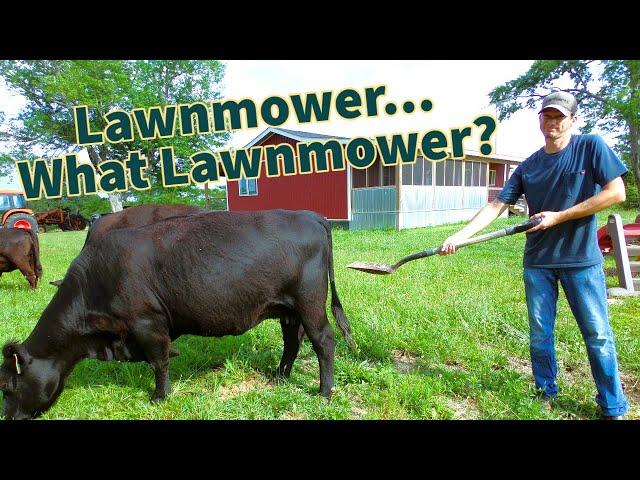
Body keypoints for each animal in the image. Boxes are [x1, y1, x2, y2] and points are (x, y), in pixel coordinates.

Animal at [0, 208, 356, 418]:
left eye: (7, 387)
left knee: (323, 341)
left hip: (310, 303)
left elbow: (159, 361)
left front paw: (159, 396)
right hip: (288, 308)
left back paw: (324, 392)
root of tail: (310, 215)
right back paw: (281, 376)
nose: (10, 418)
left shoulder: (147, 322)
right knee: (293, 341)